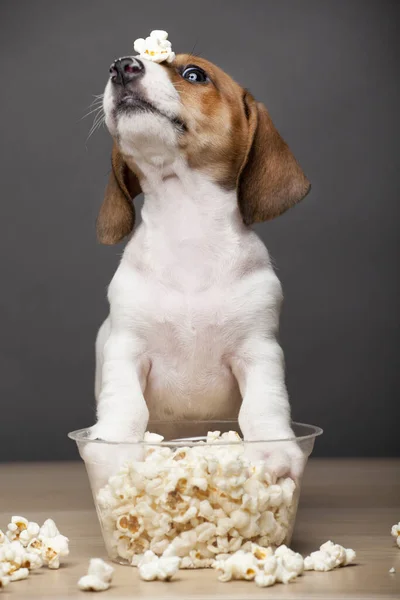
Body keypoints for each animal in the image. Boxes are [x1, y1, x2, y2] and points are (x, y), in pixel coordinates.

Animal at [90, 51, 310, 478]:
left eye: (194, 75)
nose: (122, 66)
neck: (187, 226)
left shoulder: (259, 351)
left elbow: (265, 404)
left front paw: (272, 449)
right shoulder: (126, 347)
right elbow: (125, 403)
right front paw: (112, 449)